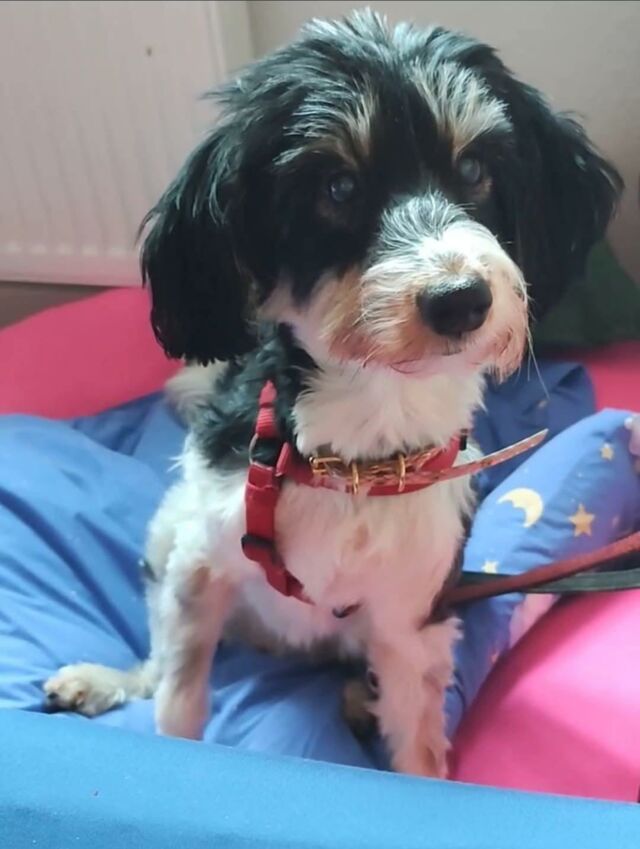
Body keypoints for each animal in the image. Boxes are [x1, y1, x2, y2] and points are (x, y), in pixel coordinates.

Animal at [44, 10, 621, 777]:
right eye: (337, 188)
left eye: (474, 168)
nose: (460, 300)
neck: (359, 452)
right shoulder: (200, 564)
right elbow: (179, 696)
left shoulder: (413, 616)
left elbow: (418, 745)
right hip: (169, 530)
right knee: (161, 651)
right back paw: (106, 679)